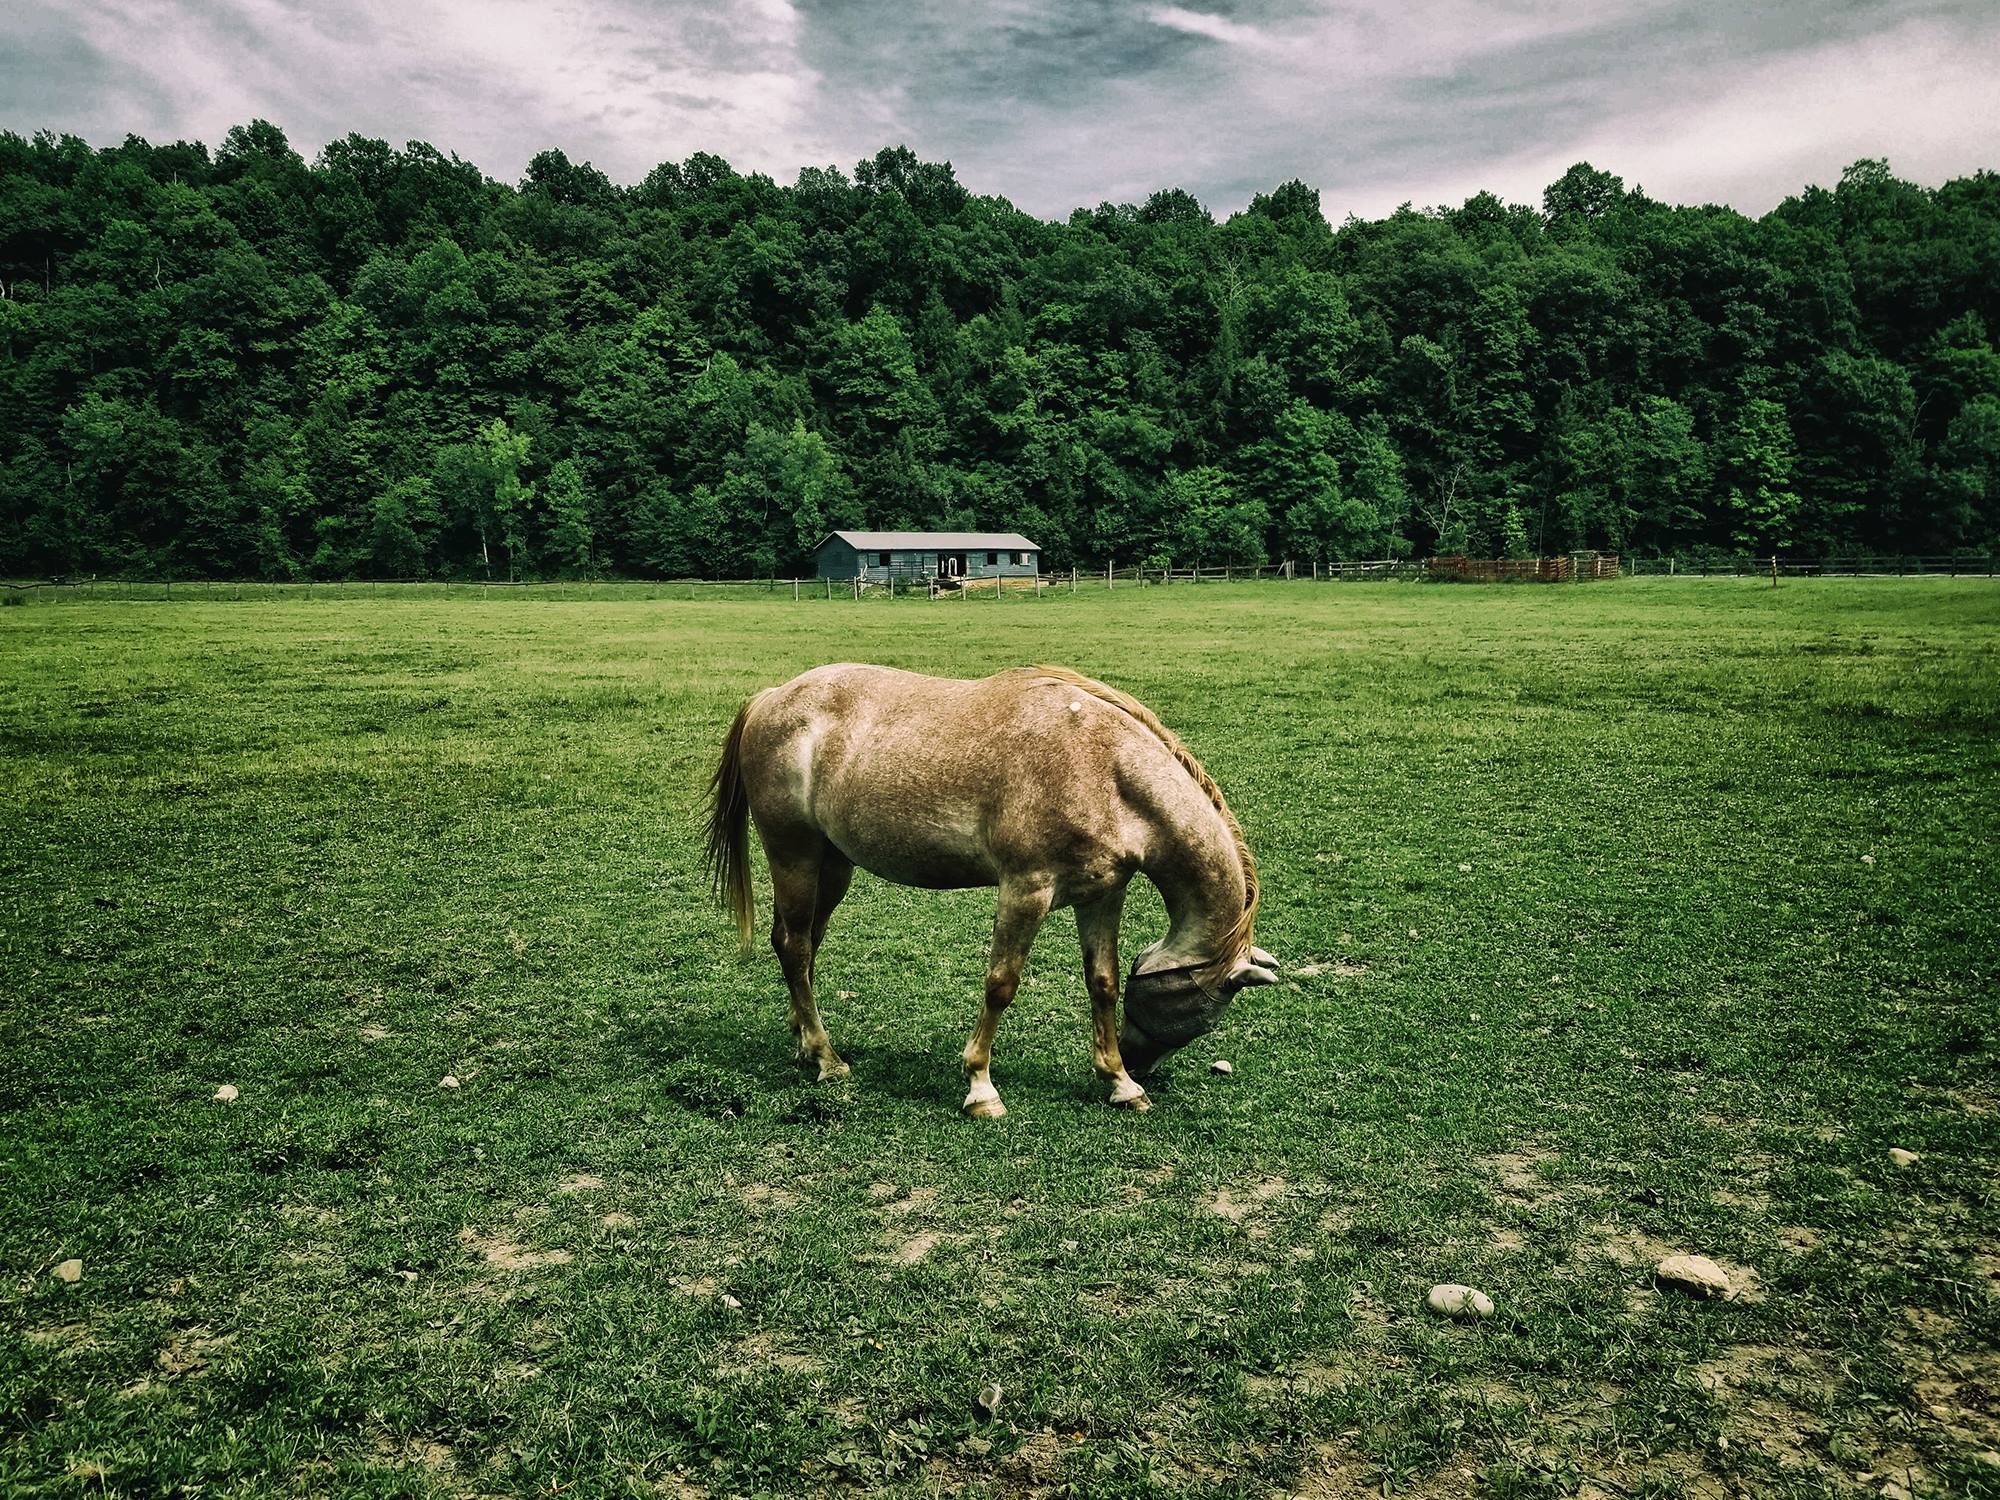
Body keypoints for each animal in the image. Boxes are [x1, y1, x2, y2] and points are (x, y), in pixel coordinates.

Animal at [704, 668, 1280, 1120]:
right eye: (1198, 1016)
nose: (1140, 1061)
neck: (1104, 769)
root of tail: (773, 697)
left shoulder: (1102, 896)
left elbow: (1103, 983)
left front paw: (1120, 1083)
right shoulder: (1025, 891)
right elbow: (1001, 985)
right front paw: (981, 1087)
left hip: (832, 865)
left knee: (799, 945)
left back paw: (804, 1041)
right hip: (794, 855)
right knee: (796, 947)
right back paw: (827, 1058)